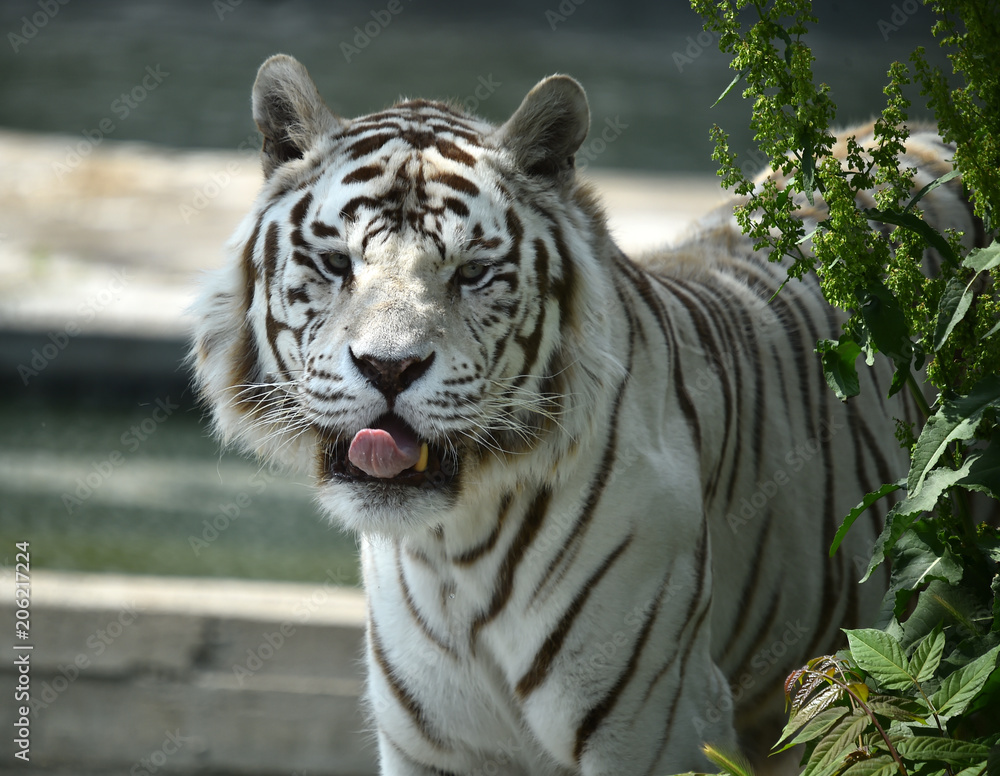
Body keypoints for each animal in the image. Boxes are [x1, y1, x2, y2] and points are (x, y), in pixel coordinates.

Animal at [189, 54, 982, 775]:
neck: (451, 549)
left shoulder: (659, 727)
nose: (390, 368)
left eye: (472, 273)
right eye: (335, 264)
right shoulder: (435, 746)